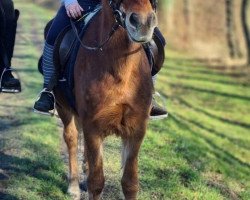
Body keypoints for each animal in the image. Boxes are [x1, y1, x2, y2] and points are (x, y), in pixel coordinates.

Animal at [52, 0, 158, 199]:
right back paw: (73, 185)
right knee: (71, 138)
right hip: (63, 107)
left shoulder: (137, 129)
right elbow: (96, 182)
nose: (143, 23)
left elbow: (130, 183)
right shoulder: (93, 127)